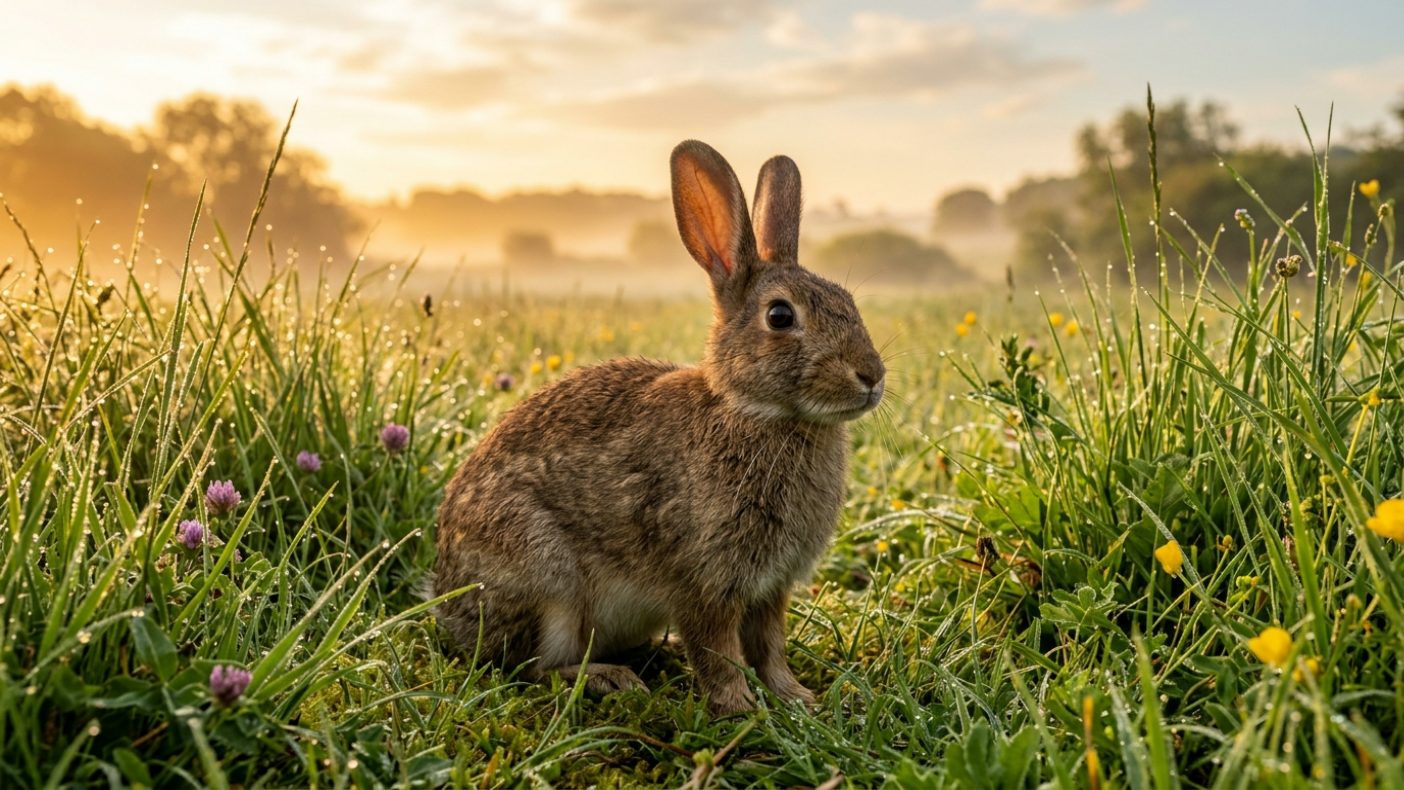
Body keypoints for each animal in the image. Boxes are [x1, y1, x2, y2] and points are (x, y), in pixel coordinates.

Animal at [433, 140, 886, 715]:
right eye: (781, 316)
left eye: (848, 303)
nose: (872, 376)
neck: (752, 411)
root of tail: (446, 605)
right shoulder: (704, 578)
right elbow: (718, 651)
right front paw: (741, 709)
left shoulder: (770, 587)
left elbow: (769, 648)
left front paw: (796, 698)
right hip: (547, 579)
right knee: (533, 666)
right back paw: (611, 679)